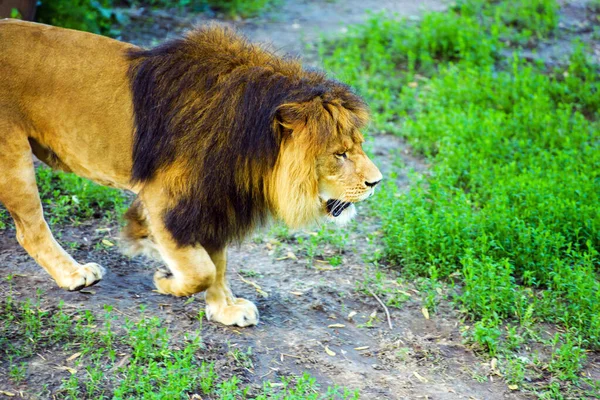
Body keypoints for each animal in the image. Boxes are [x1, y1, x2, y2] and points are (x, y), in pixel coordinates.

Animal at [0, 19, 382, 324]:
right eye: (340, 154)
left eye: (359, 145)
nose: (377, 182)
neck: (255, 151)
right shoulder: (165, 198)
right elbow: (201, 270)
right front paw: (164, 277)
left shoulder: (212, 199)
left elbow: (218, 263)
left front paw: (225, 309)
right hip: (12, 159)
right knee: (30, 230)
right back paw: (74, 274)